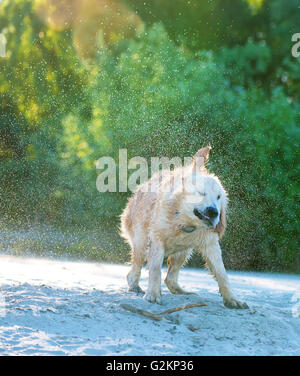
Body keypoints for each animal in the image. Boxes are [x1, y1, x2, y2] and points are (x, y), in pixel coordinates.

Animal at [120, 146, 250, 308]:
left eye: (219, 197)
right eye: (201, 193)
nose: (213, 212)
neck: (186, 222)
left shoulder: (211, 244)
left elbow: (222, 274)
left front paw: (232, 299)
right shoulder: (157, 240)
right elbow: (155, 269)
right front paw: (153, 294)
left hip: (183, 252)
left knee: (170, 277)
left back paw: (181, 291)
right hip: (141, 243)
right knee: (134, 269)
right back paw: (135, 286)